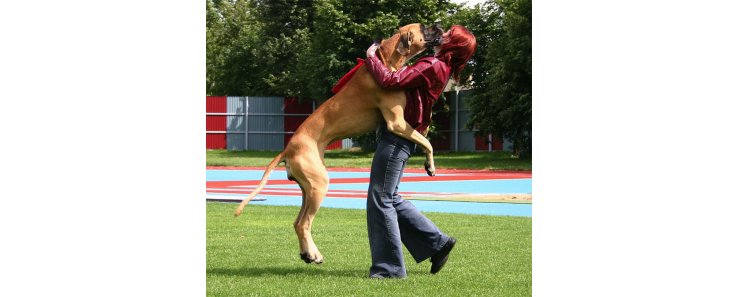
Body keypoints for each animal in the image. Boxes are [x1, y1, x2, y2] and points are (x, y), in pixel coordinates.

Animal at [234, 23, 442, 264]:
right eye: (424, 28)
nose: (439, 25)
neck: (386, 59)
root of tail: (287, 148)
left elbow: (423, 136)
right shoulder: (397, 122)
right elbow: (427, 142)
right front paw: (430, 165)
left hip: (308, 187)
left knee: (297, 222)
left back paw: (307, 253)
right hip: (319, 184)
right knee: (304, 223)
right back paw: (314, 254)